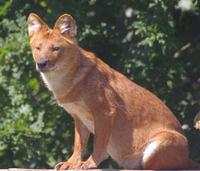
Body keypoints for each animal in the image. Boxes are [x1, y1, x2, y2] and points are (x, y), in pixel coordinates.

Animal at [27, 12, 200, 169]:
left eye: (55, 48)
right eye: (38, 48)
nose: (41, 63)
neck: (68, 81)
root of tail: (188, 159)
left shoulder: (105, 112)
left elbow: (98, 144)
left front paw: (89, 164)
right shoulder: (78, 117)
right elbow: (79, 145)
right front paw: (71, 163)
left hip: (161, 142)